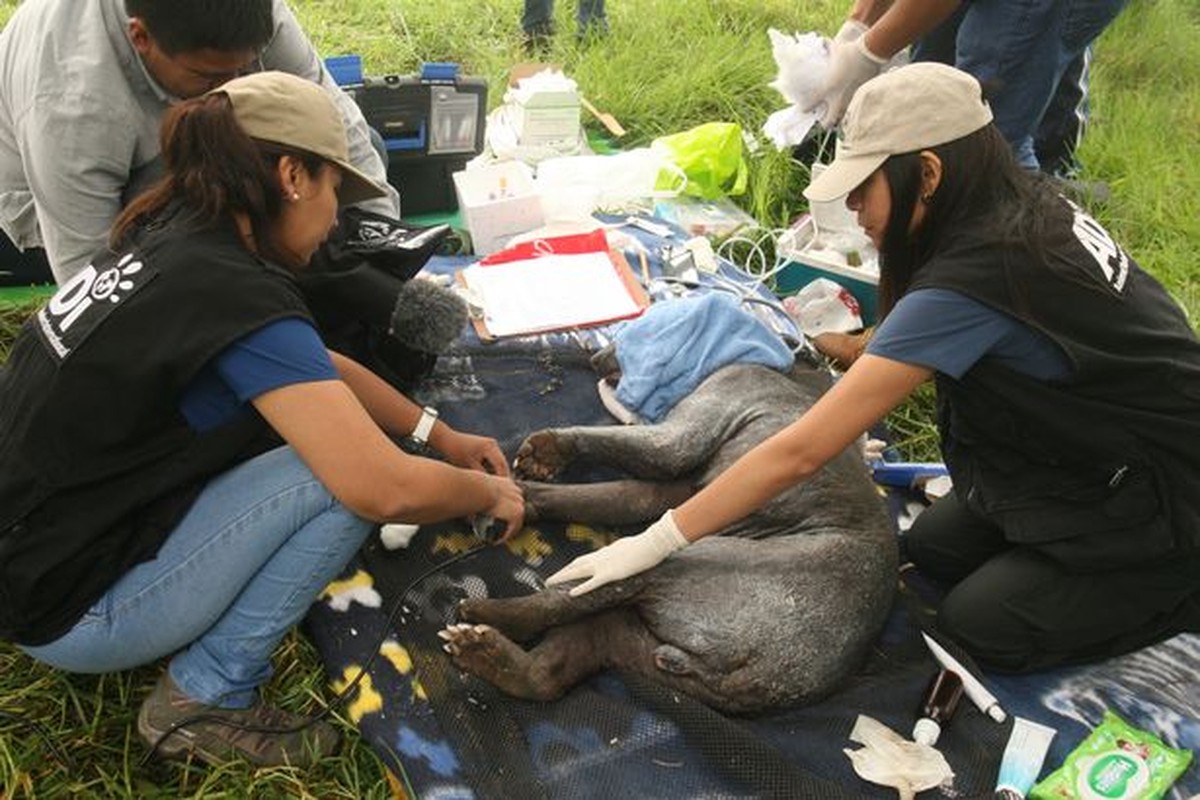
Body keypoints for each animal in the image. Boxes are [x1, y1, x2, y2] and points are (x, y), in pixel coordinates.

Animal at [439, 357, 892, 714]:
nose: (595, 357)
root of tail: (762, 678)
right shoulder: (677, 491)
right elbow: (614, 496)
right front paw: (511, 494)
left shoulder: (699, 420)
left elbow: (649, 452)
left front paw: (545, 453)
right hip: (645, 646)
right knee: (563, 663)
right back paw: (488, 656)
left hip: (696, 569)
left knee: (571, 597)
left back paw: (482, 617)